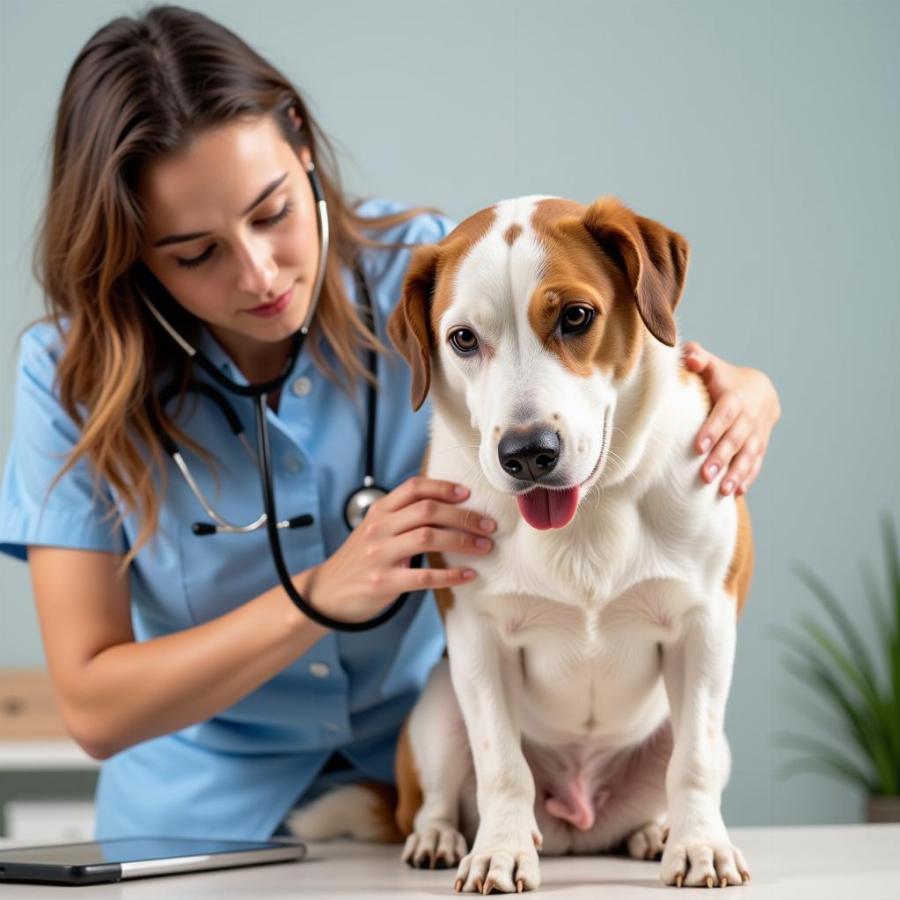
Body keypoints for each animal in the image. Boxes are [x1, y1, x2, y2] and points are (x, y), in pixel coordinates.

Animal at [288, 193, 752, 888]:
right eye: (462, 338)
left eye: (576, 316)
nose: (529, 453)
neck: (588, 515)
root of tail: (579, 826)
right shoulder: (477, 640)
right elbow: (502, 767)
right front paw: (500, 851)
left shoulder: (706, 626)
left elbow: (691, 763)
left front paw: (698, 844)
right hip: (435, 706)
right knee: (437, 797)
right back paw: (439, 838)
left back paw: (653, 832)